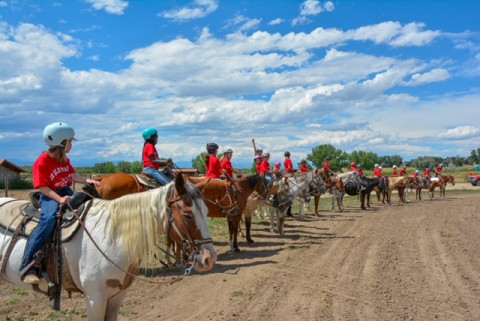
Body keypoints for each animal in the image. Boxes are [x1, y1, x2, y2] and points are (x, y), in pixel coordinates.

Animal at [0, 174, 217, 318]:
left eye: (207, 211)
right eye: (187, 215)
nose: (209, 258)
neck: (113, 236)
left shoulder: (117, 295)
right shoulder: (95, 298)